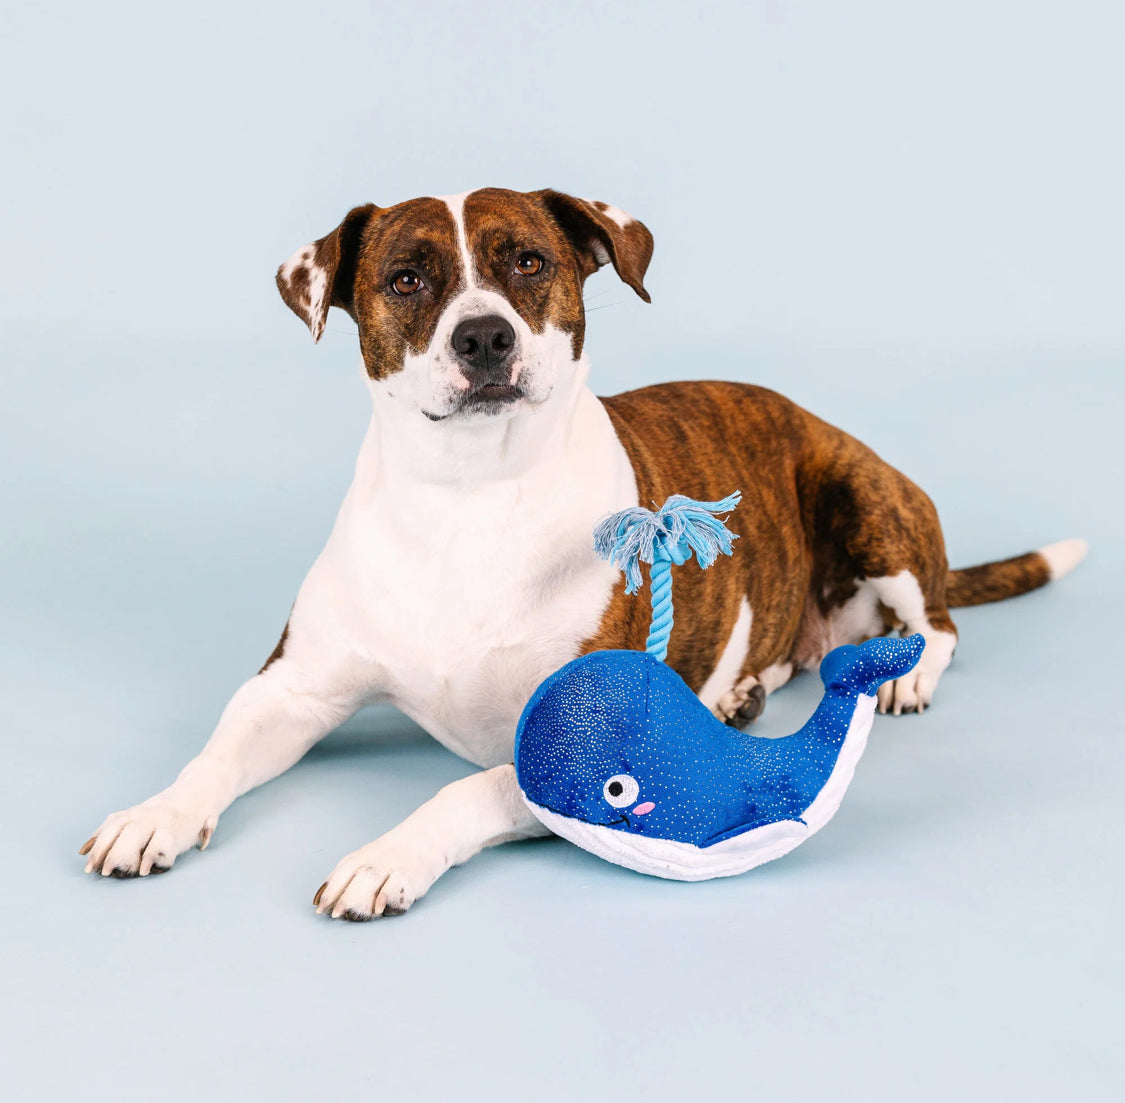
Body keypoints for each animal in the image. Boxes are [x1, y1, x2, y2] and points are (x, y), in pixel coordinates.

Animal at [80, 187, 1087, 918]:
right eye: (405, 279)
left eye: (528, 261)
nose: (483, 335)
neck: (467, 497)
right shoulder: (293, 687)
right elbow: (215, 754)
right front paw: (153, 814)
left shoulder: (559, 758)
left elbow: (462, 793)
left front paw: (383, 856)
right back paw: (741, 692)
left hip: (863, 498)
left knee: (938, 621)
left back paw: (902, 676)